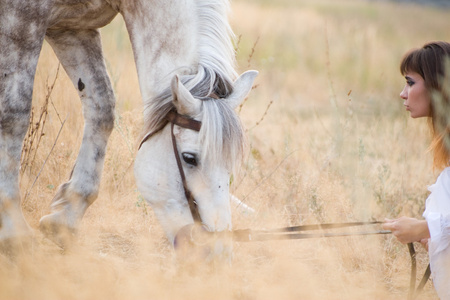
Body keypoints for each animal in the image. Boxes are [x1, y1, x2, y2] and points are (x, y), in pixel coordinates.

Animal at [0, 0, 256, 258]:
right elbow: (14, 115)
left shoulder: (73, 27)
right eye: (189, 158)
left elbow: (102, 107)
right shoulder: (22, 21)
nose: (218, 252)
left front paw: (66, 218)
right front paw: (14, 233)